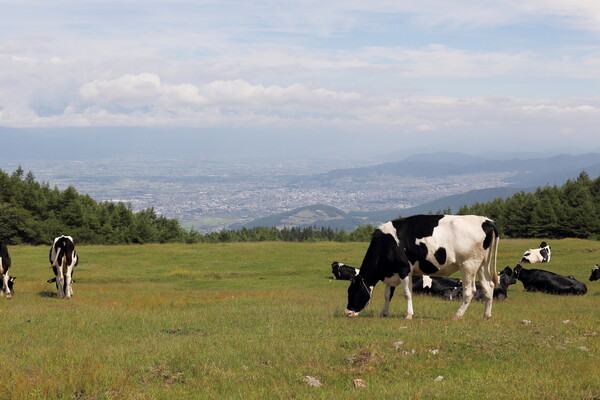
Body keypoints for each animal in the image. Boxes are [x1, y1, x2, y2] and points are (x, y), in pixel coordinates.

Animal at [344, 214, 500, 320]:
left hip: (468, 264)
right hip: (482, 264)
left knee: (470, 291)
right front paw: (383, 313)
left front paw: (408, 315)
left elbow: (407, 293)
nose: (347, 312)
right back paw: (486, 316)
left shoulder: (404, 269)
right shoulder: (393, 273)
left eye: (351, 291)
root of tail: (487, 221)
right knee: (488, 286)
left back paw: (457, 316)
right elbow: (387, 295)